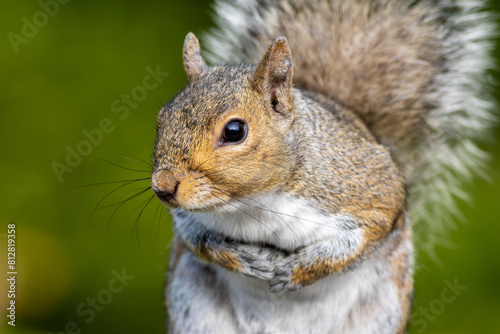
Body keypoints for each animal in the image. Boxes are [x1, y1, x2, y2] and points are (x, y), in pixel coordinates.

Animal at [150, 0, 494, 334]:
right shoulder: (188, 218)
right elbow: (196, 237)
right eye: (162, 118)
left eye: (234, 131)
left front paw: (297, 270)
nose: (162, 187)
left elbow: (363, 237)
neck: (255, 204)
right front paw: (240, 257)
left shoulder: (372, 189)